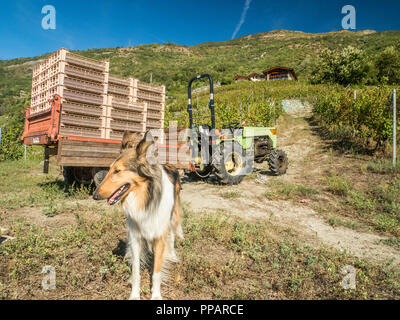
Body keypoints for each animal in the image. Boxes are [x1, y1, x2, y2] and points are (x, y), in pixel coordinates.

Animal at [93, 131, 184, 300]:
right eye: (109, 169)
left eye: (117, 171)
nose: (94, 196)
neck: (145, 198)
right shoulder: (135, 238)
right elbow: (136, 271)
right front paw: (134, 294)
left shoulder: (159, 236)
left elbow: (156, 272)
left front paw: (156, 295)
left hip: (172, 216)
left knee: (172, 236)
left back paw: (173, 255)